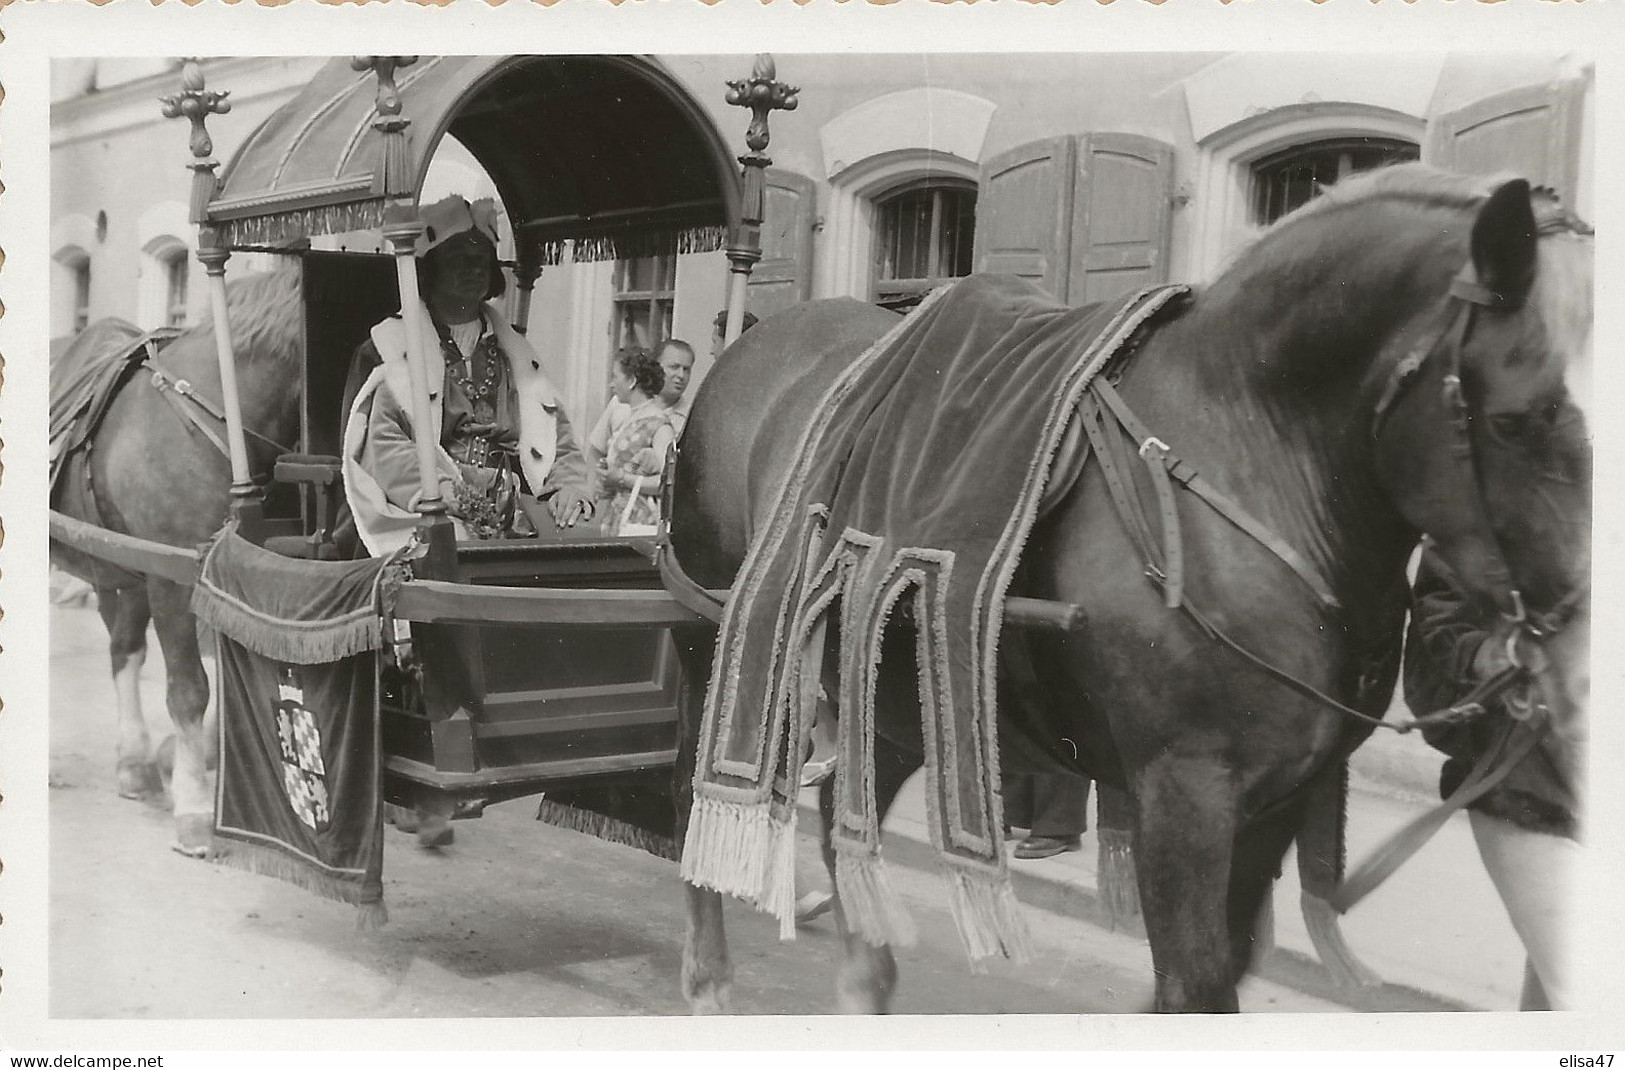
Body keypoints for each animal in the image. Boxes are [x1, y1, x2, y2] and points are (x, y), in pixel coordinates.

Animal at [52, 271, 305, 852]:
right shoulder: (172, 583)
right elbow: (192, 690)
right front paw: (193, 808)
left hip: (118, 569)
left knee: (123, 648)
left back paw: (135, 761)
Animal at [666, 166, 1592, 1008]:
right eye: (1514, 419)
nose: (1579, 673)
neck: (1246, 463)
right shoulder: (1183, 798)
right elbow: (1192, 985)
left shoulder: (1273, 805)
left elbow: (1213, 975)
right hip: (720, 651)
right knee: (694, 797)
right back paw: (706, 976)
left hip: (883, 702)